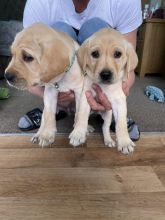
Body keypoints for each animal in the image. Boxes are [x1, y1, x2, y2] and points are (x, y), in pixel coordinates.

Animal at [69, 27, 138, 155]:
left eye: (118, 54)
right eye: (95, 54)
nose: (105, 74)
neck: (104, 87)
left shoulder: (120, 102)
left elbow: (121, 123)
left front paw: (125, 142)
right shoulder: (85, 97)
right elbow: (81, 116)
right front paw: (78, 133)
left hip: (108, 114)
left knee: (104, 127)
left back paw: (108, 140)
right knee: (78, 117)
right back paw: (85, 128)